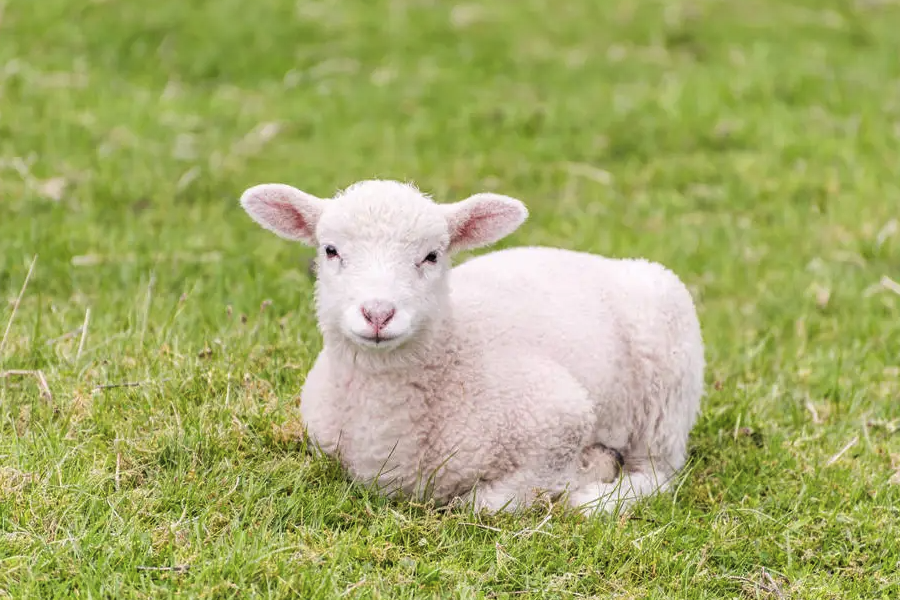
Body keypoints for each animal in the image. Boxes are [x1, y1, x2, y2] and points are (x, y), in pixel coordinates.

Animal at [239, 179, 704, 516]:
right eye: (331, 250)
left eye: (432, 256)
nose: (378, 313)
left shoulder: (559, 416)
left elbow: (486, 505)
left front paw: (584, 474)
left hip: (667, 387)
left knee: (658, 473)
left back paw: (598, 498)